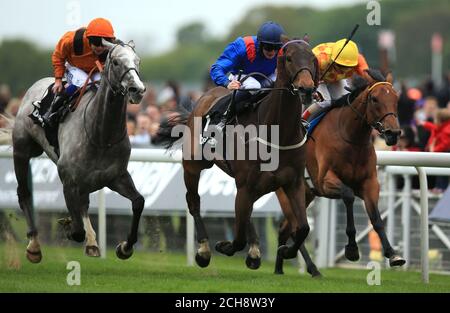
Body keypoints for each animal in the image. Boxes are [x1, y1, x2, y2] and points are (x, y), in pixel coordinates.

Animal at [7, 39, 146, 264]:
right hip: (22, 150)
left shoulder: (116, 176)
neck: (101, 135)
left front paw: (125, 247)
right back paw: (34, 246)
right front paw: (68, 227)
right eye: (116, 62)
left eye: (138, 61)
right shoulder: (69, 180)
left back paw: (92, 243)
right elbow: (77, 230)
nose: (137, 90)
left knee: (84, 204)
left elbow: (138, 202)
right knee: (24, 193)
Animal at [158, 36, 316, 268]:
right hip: (193, 165)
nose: (306, 88)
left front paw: (286, 251)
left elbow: (303, 227)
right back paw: (204, 250)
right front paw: (224, 246)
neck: (278, 134)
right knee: (194, 201)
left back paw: (254, 251)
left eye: (313, 58)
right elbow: (239, 238)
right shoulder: (247, 185)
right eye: (288, 58)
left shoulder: (293, 183)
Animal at [272, 70, 406, 276]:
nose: (393, 133)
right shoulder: (325, 181)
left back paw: (283, 267)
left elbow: (376, 218)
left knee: (286, 228)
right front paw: (352, 249)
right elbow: (348, 196)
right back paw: (298, 261)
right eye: (374, 99)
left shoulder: (370, 183)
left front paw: (393, 255)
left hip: (305, 193)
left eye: (396, 99)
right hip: (286, 192)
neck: (350, 137)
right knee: (295, 227)